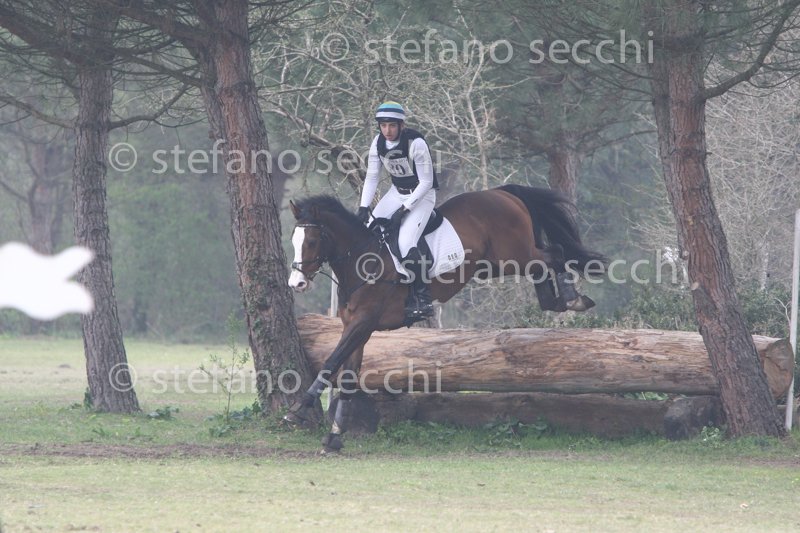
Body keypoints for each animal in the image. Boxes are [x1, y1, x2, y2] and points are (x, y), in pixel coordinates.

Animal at [285, 184, 604, 452]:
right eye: (294, 240)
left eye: (311, 241)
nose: (296, 283)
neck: (362, 260)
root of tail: (501, 192)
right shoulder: (357, 328)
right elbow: (347, 375)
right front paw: (334, 437)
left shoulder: (363, 323)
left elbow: (331, 362)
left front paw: (299, 409)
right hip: (496, 264)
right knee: (544, 266)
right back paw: (559, 299)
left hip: (514, 255)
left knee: (554, 254)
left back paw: (572, 297)